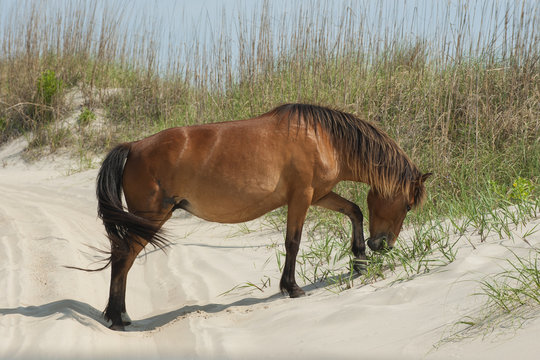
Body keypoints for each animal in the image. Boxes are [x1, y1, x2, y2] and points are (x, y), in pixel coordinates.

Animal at [96, 103, 430, 330]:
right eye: (408, 206)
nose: (382, 245)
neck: (324, 139)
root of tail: (133, 147)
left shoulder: (320, 194)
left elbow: (354, 210)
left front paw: (359, 259)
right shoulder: (302, 197)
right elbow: (293, 242)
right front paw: (292, 287)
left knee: (122, 255)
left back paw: (119, 313)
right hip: (151, 217)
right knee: (123, 256)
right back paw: (117, 316)